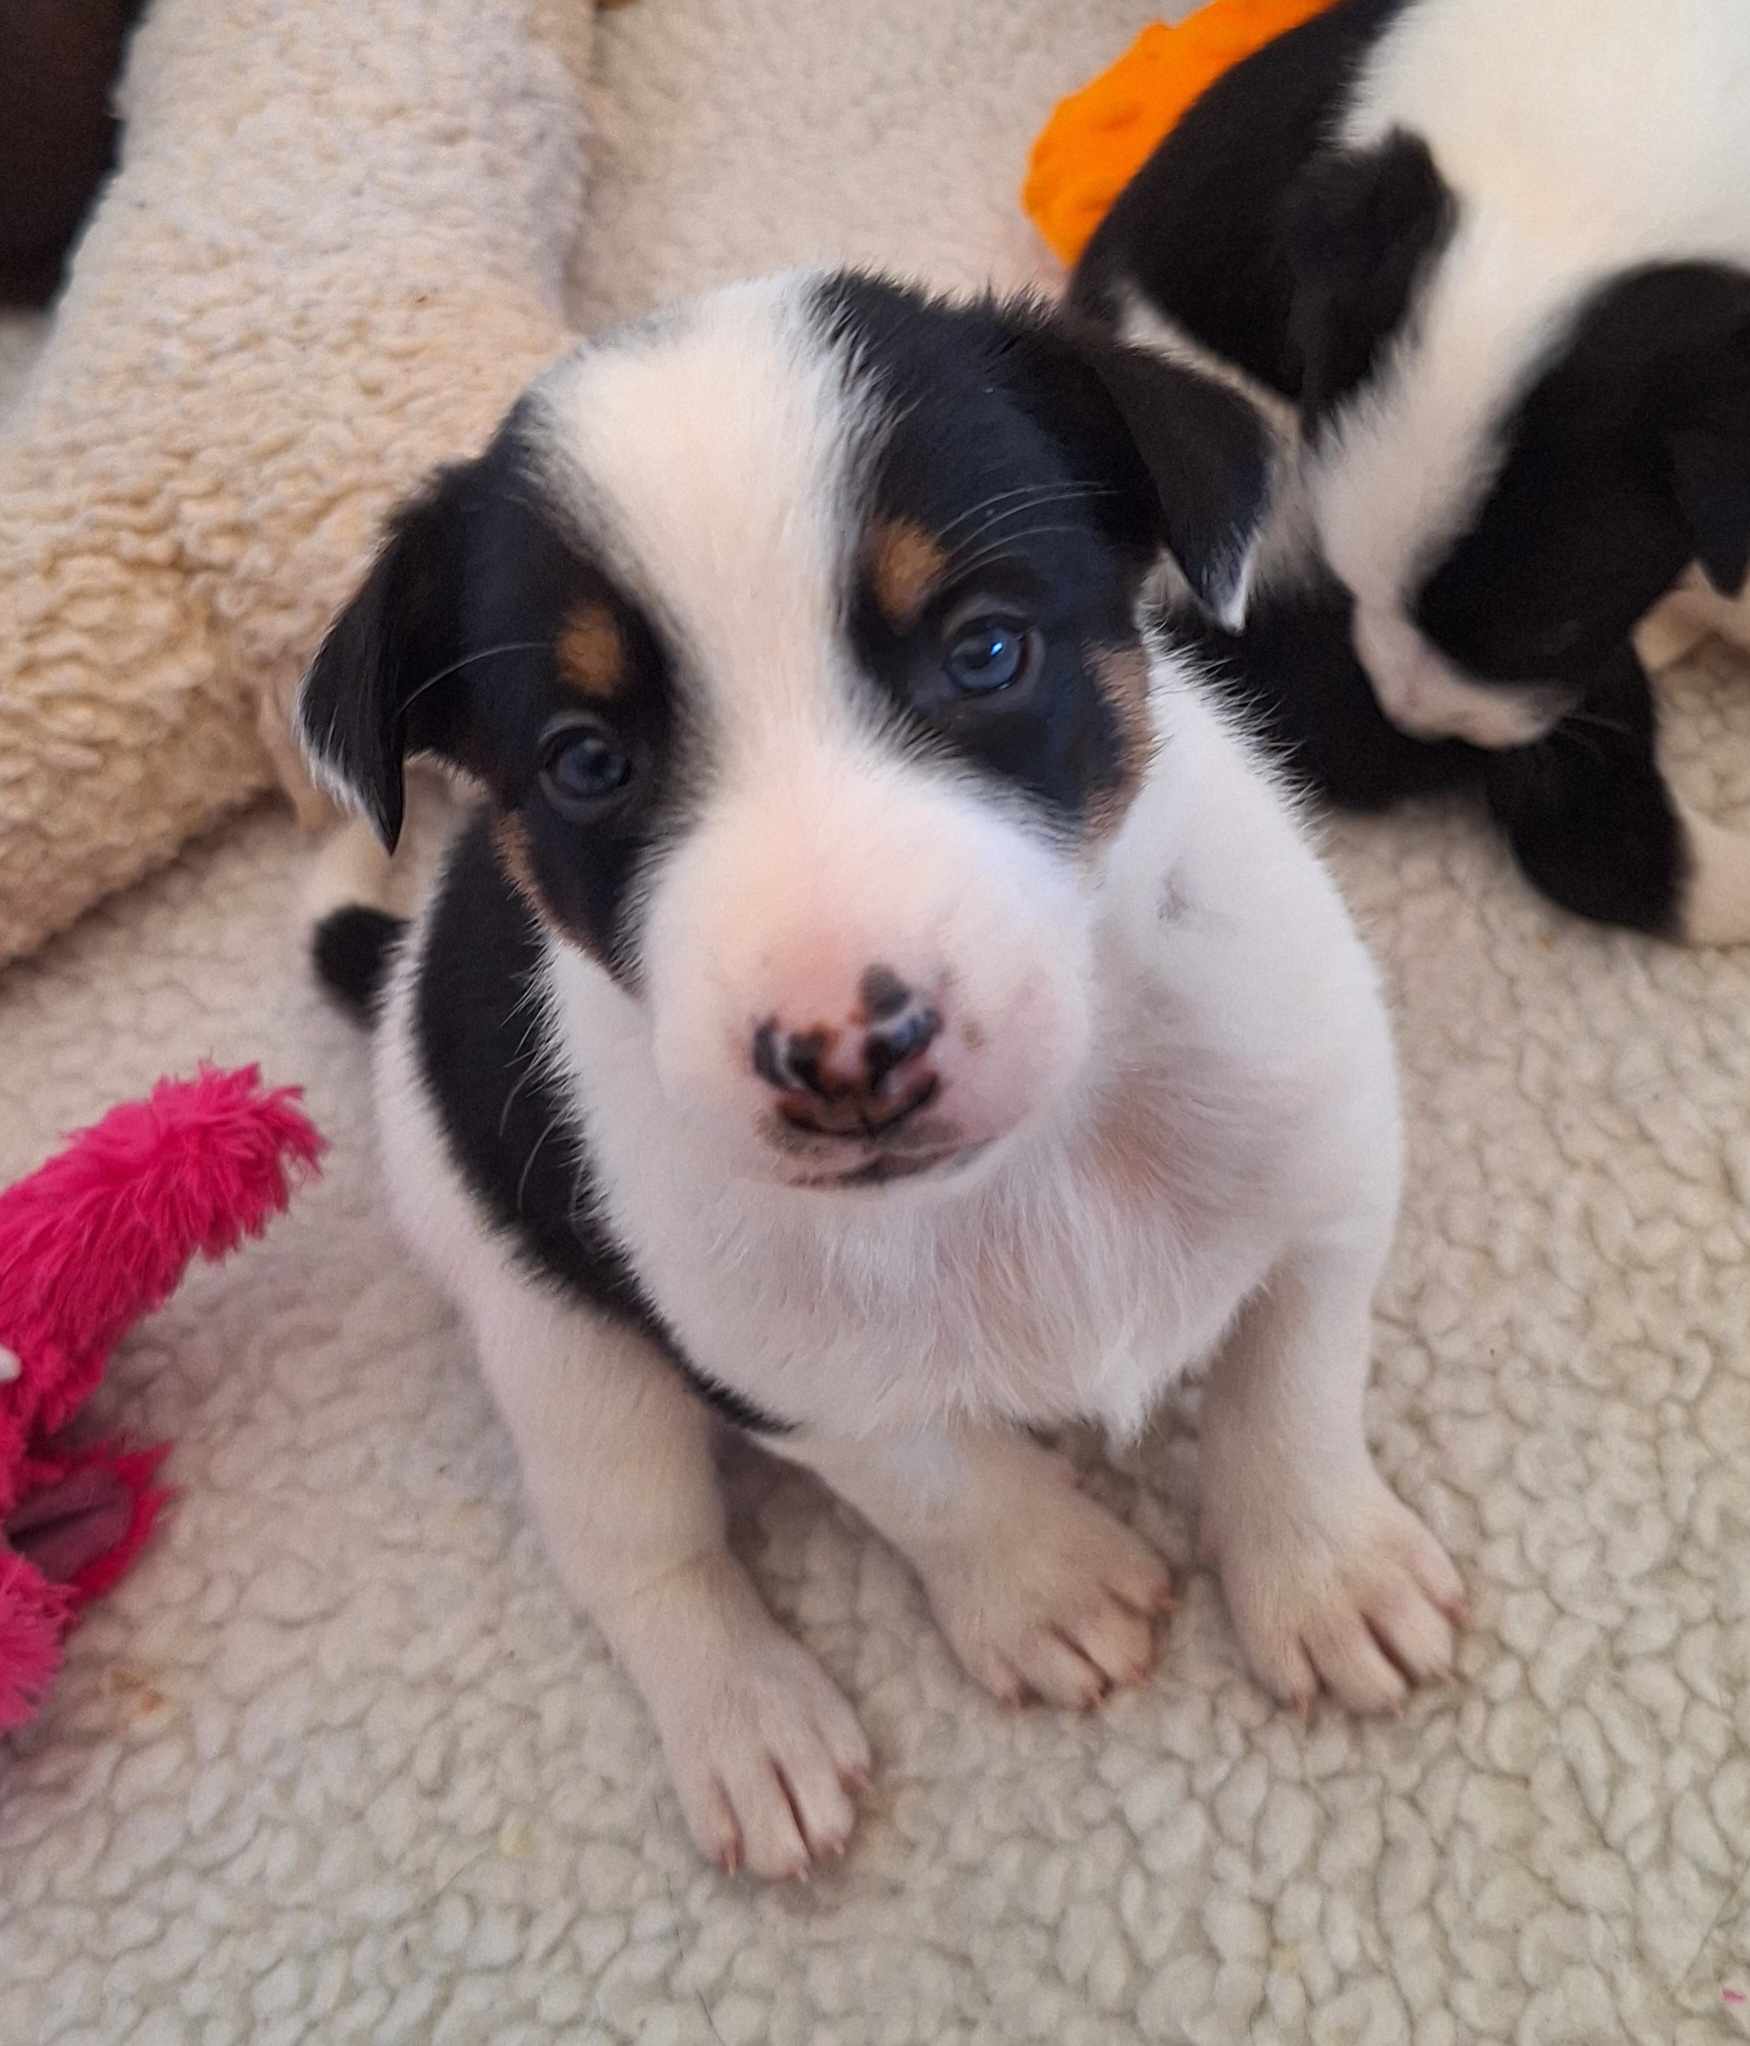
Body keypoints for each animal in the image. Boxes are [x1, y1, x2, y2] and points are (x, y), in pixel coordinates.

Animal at [296, 276, 1465, 1882]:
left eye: (984, 652)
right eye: (587, 762)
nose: (841, 1053)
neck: (1039, 1155)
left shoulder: (1321, 1168)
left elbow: (1288, 1386)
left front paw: (1320, 1569)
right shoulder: (783, 1360)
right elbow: (932, 1476)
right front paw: (1047, 1584)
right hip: (551, 1338)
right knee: (640, 1559)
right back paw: (748, 1719)